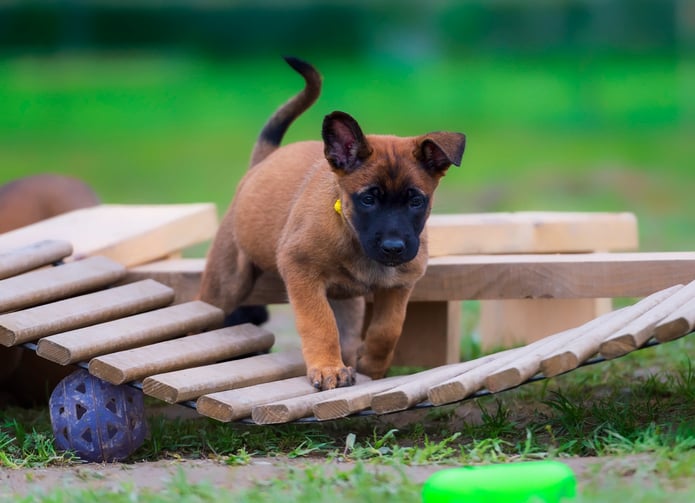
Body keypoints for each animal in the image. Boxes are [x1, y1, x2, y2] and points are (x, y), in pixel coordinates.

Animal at [198, 57, 464, 392]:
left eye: (416, 201)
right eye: (368, 199)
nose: (393, 248)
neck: (350, 233)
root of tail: (262, 163)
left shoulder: (401, 283)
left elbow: (388, 328)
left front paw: (371, 364)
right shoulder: (302, 272)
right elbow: (319, 323)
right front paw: (328, 369)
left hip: (347, 301)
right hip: (226, 284)